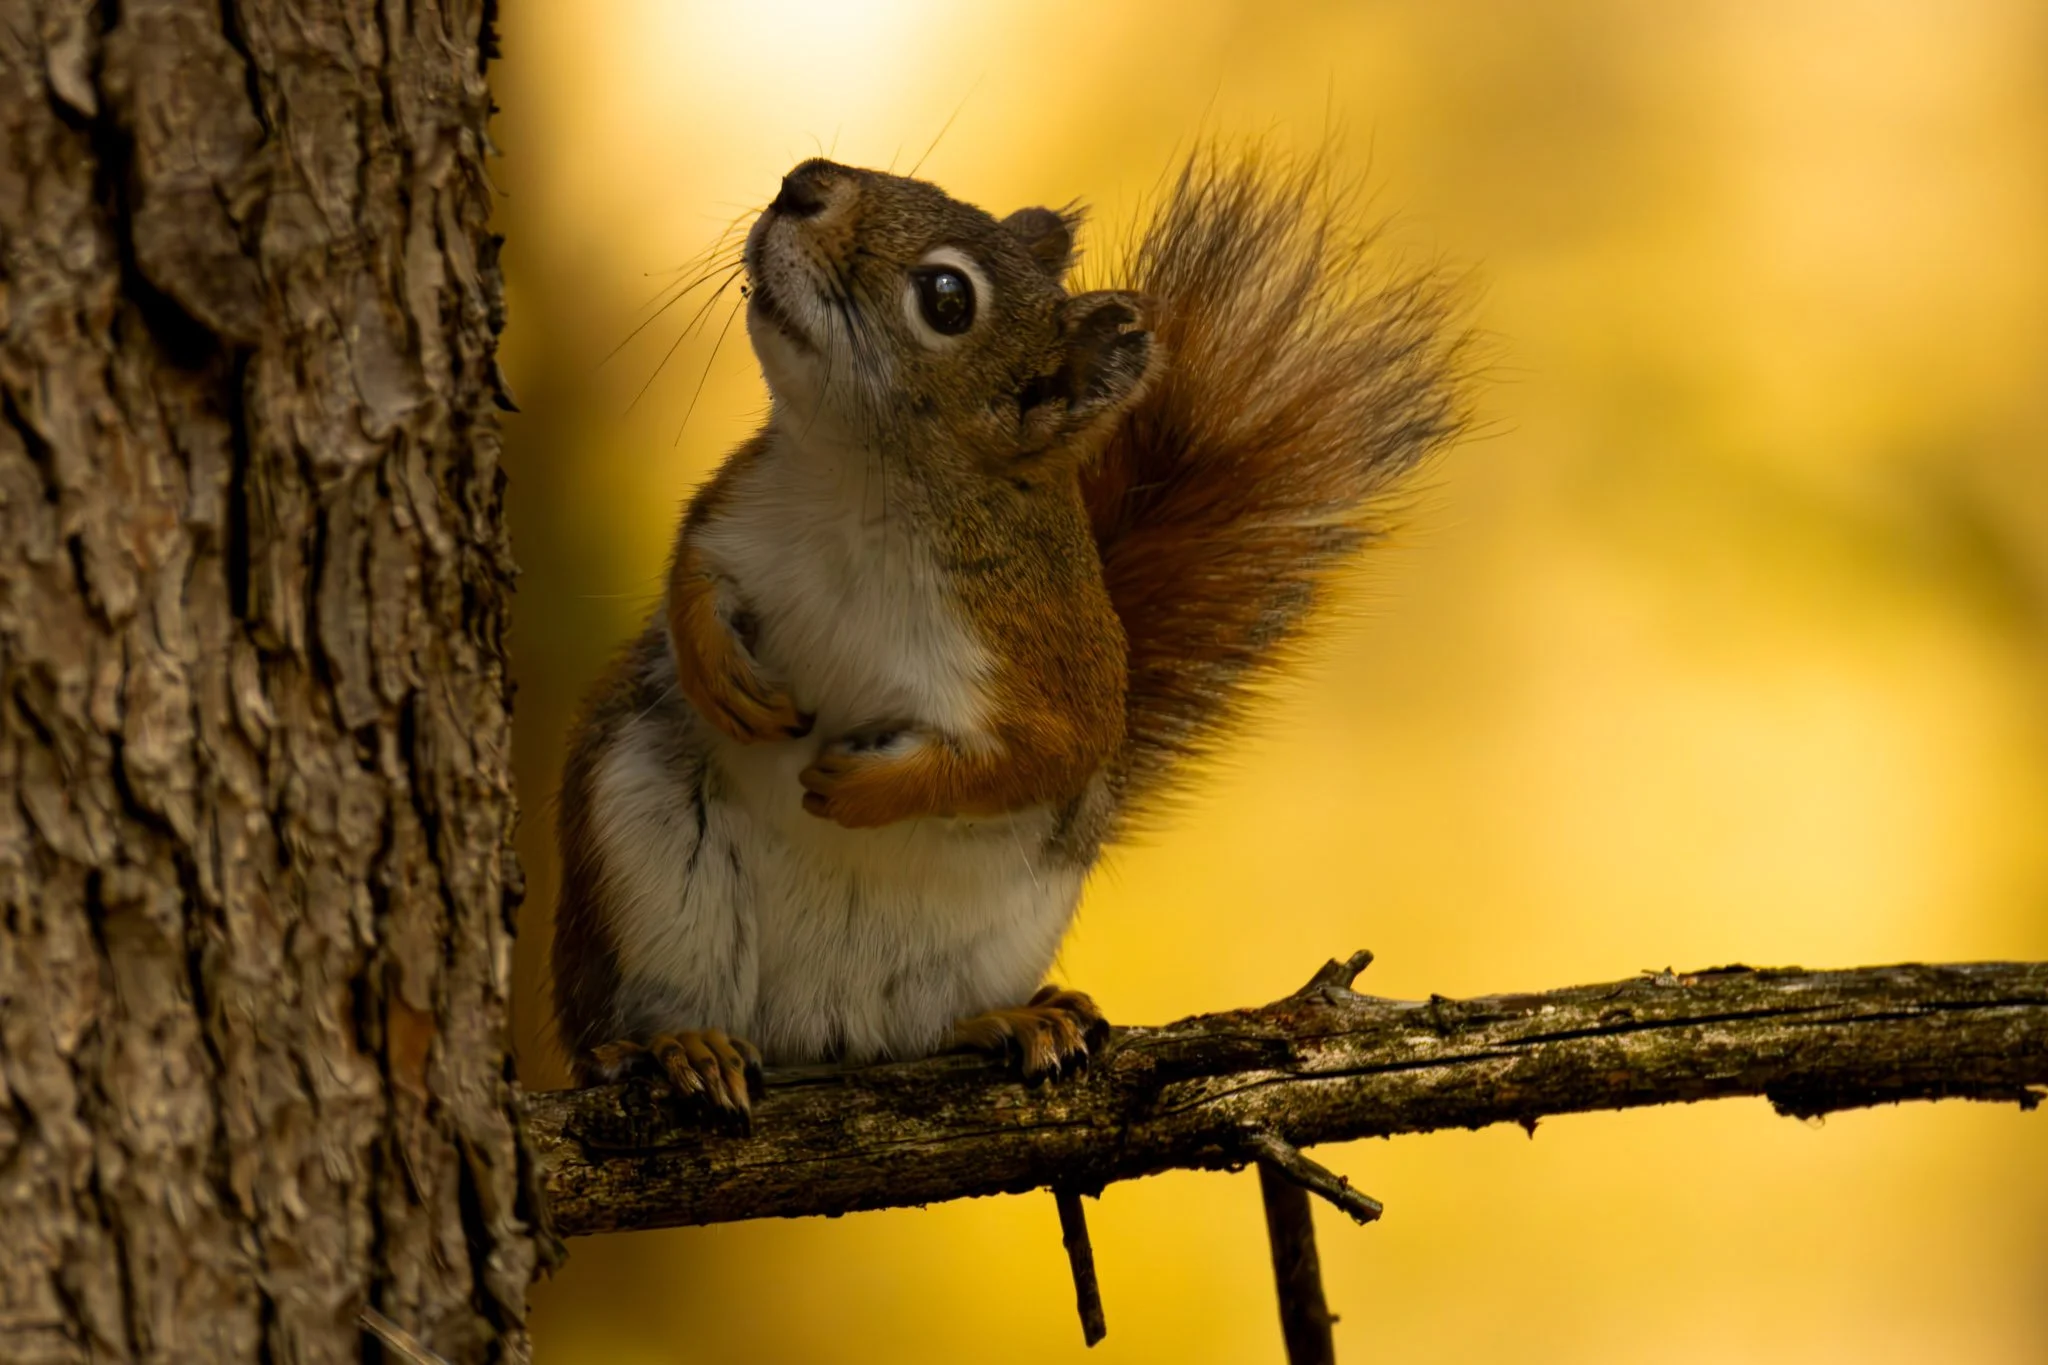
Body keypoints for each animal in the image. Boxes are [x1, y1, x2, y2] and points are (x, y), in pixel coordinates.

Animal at [551, 150, 1468, 1114]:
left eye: (948, 298)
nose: (803, 183)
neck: (858, 486)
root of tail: (816, 1032)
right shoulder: (732, 512)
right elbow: (689, 577)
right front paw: (718, 675)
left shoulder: (1049, 653)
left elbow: (1037, 757)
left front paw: (867, 790)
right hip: (645, 869)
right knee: (630, 1022)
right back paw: (675, 1045)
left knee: (921, 1029)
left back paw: (1009, 1020)